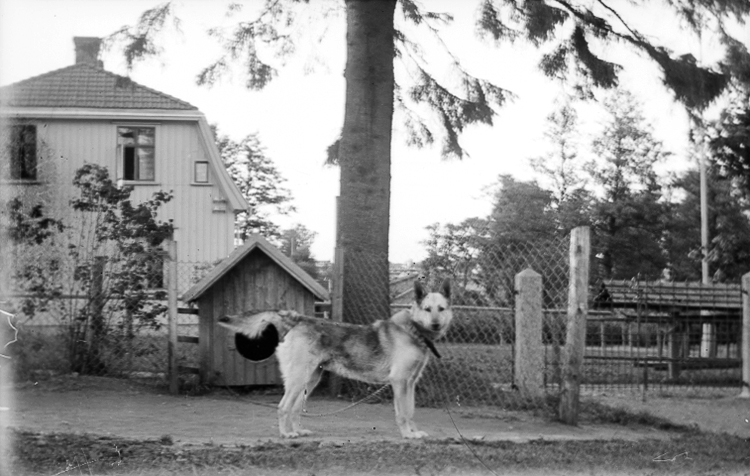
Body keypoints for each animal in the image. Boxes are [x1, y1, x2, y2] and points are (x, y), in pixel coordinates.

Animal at [217, 278, 452, 439]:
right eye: (427, 309)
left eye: (441, 309)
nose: (435, 325)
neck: (414, 330)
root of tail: (297, 318)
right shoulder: (400, 382)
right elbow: (403, 413)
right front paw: (407, 435)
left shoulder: (410, 383)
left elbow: (411, 411)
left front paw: (414, 432)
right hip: (298, 379)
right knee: (283, 407)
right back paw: (287, 434)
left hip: (309, 381)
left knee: (295, 409)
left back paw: (298, 431)